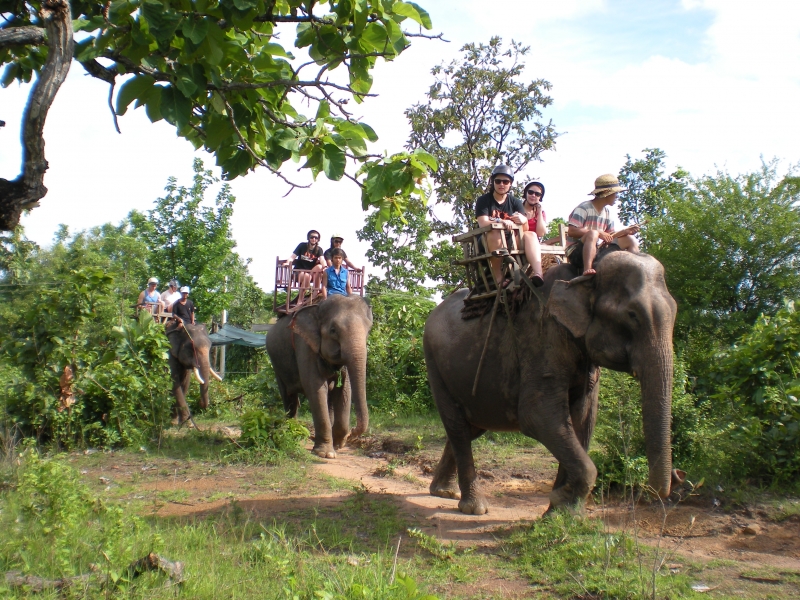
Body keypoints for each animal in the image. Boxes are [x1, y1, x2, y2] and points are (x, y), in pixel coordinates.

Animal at [266, 292, 372, 458]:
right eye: (333, 330)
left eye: (369, 330)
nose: (353, 432)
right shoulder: (304, 345)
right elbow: (315, 387)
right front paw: (325, 453)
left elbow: (344, 390)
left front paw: (338, 445)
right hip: (276, 364)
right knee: (289, 397)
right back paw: (291, 432)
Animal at [424, 248, 680, 516]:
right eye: (632, 315)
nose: (677, 475)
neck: (582, 275)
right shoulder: (542, 335)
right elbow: (537, 415)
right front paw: (561, 501)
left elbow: (583, 421)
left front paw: (563, 513)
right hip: (434, 363)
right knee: (458, 428)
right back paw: (473, 507)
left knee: (472, 426)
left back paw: (443, 492)